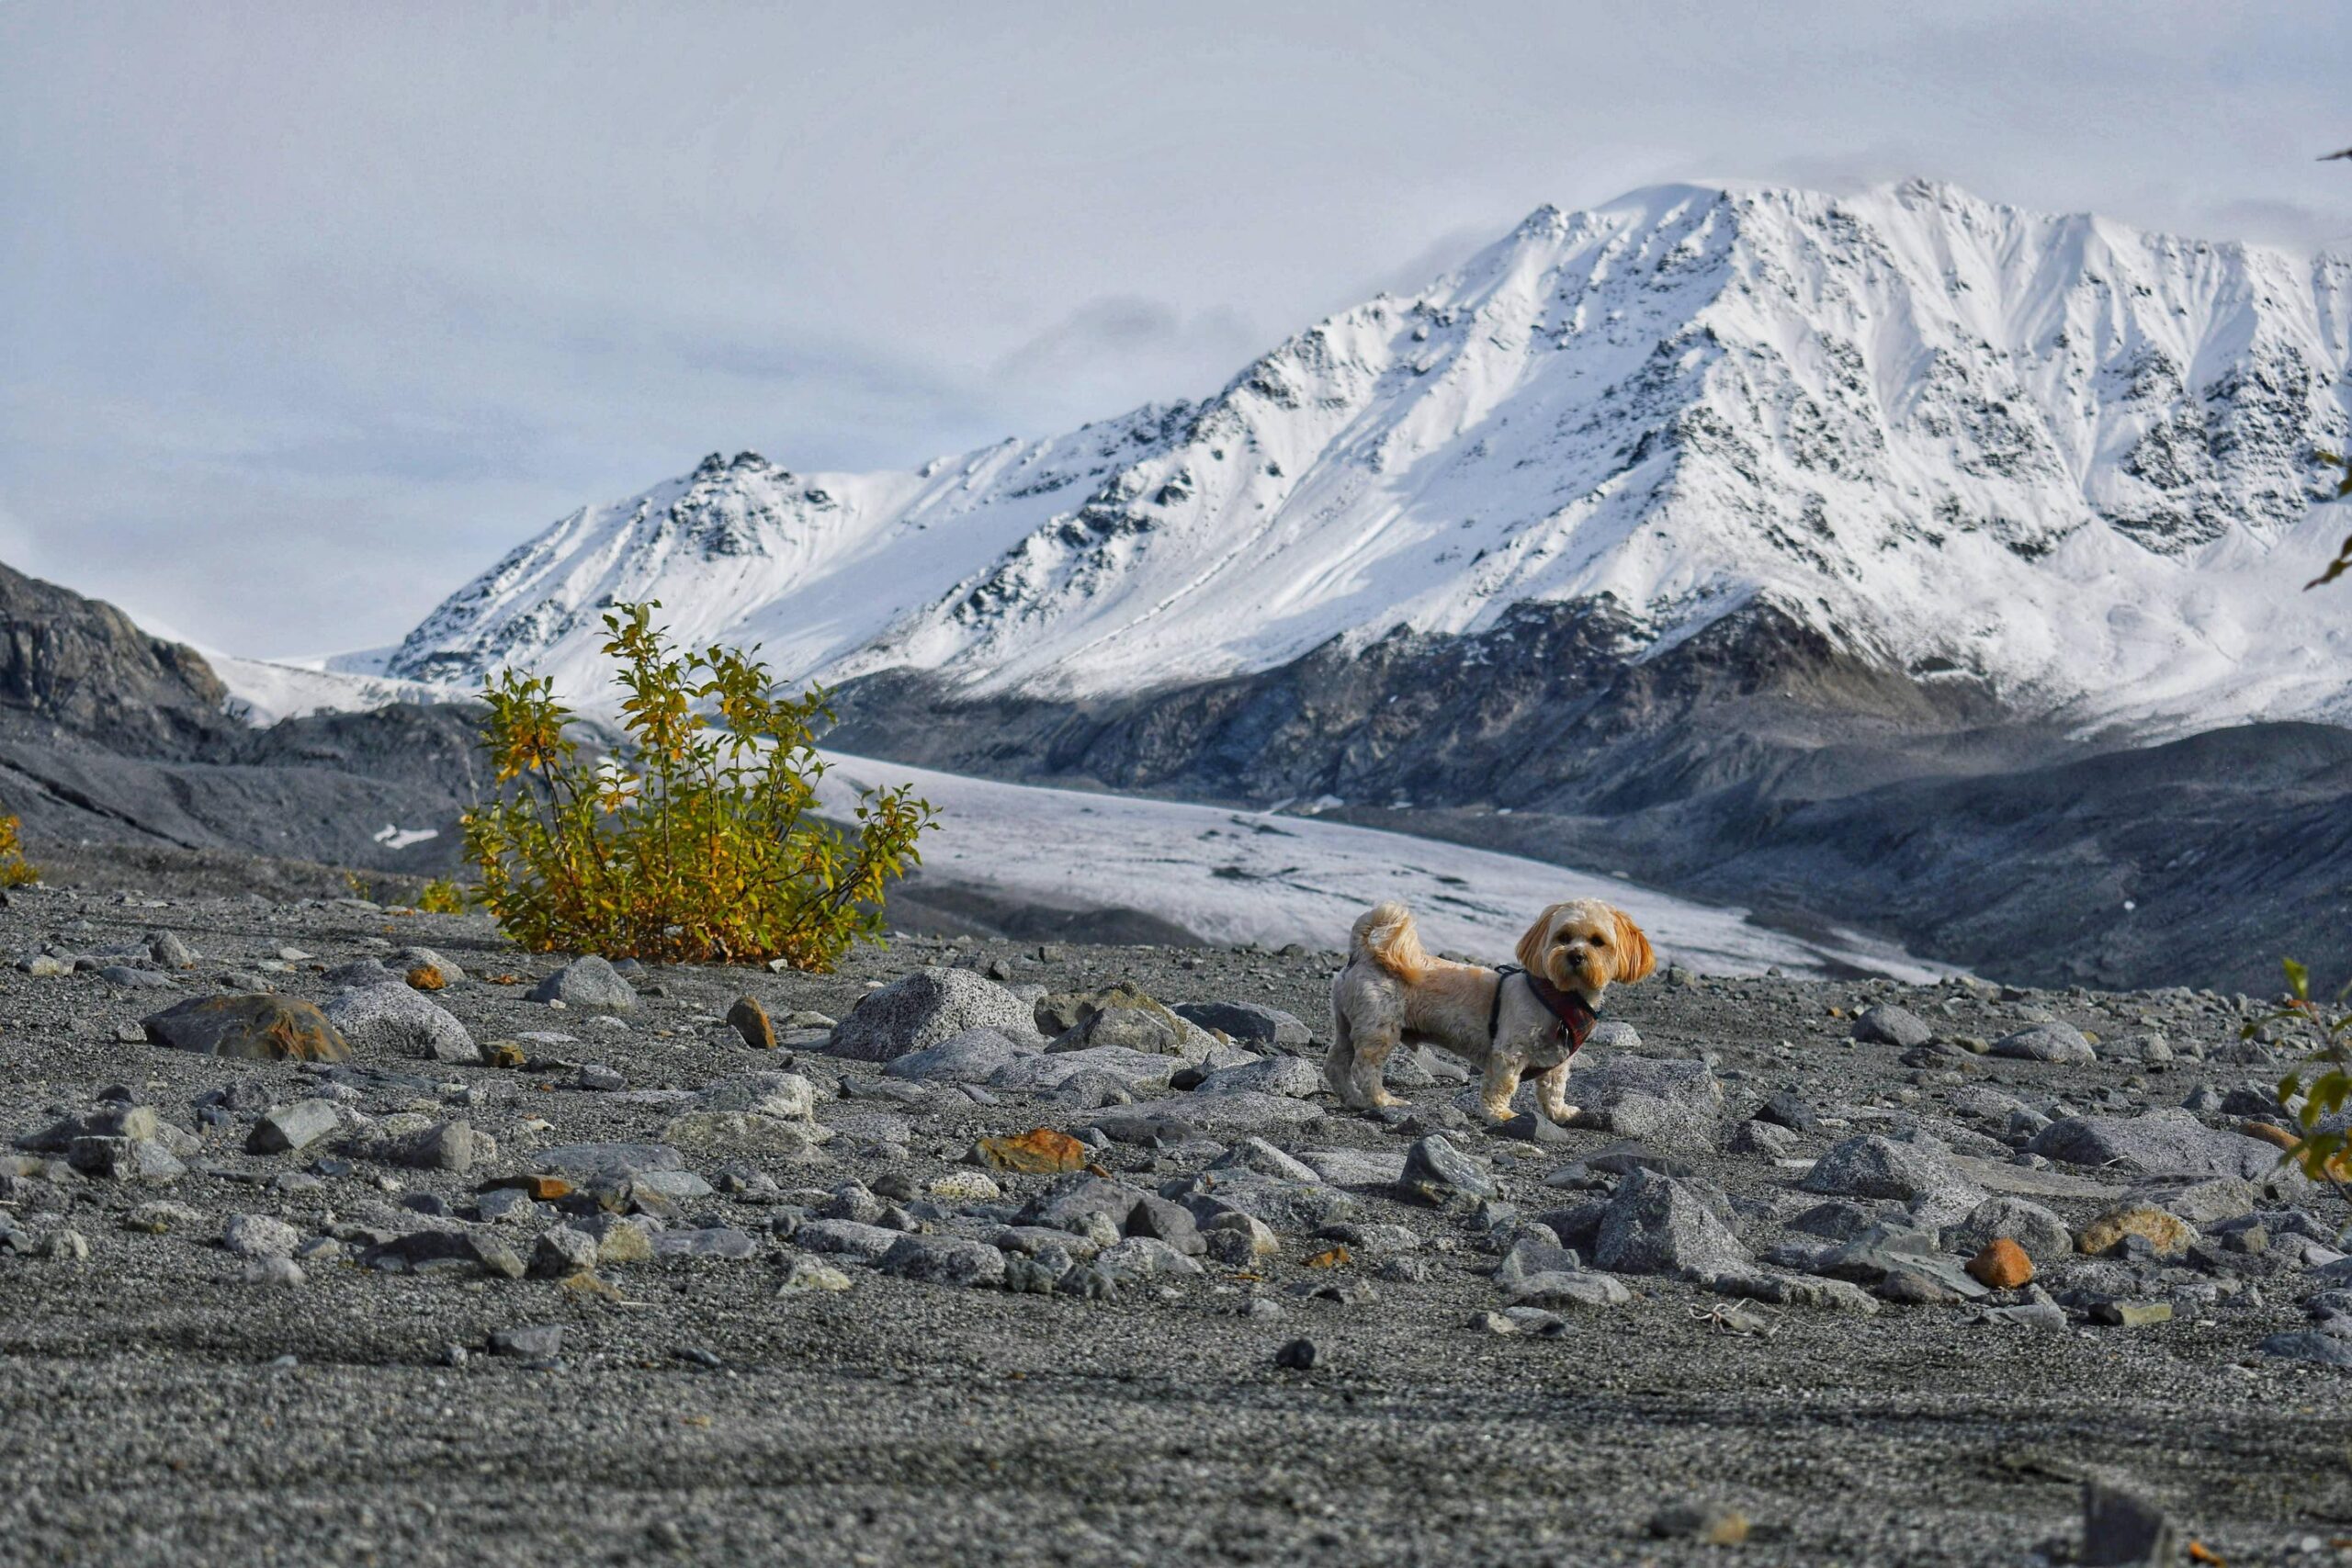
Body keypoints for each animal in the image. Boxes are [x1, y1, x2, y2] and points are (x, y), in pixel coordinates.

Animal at [1326, 893, 1656, 1128]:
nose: (1575, 955)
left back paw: (1353, 1099)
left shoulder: (1559, 1061)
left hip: (1347, 1022)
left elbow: (1554, 1088)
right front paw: (1501, 1115)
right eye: (1563, 937)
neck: (1562, 996)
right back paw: (1382, 1100)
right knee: (1364, 1068)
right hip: (1380, 1027)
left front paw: (1560, 1113)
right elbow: (1503, 1085)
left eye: (1598, 941)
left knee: (1336, 1064)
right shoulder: (1509, 1052)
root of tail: (1365, 953)